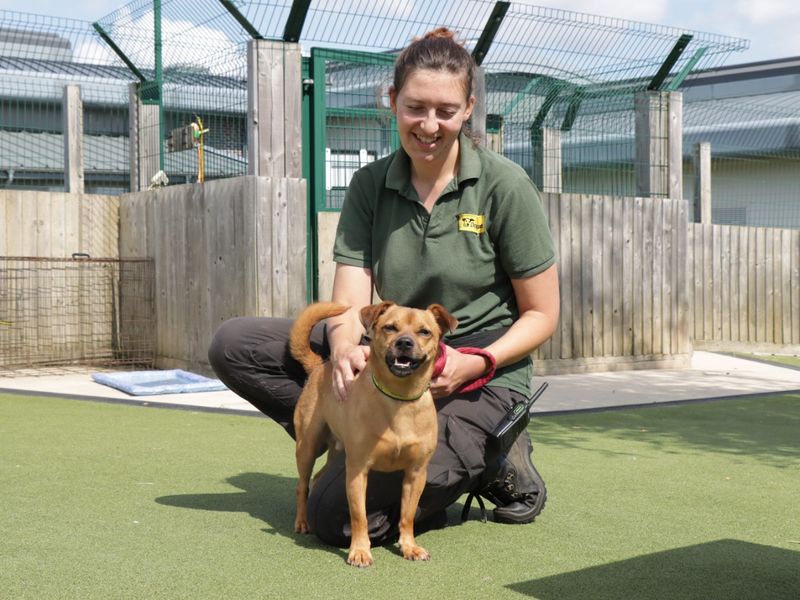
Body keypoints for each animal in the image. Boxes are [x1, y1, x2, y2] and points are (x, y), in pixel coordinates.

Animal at [292, 302, 456, 564]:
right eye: (390, 327)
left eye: (424, 332)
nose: (405, 342)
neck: (399, 400)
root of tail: (321, 365)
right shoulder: (357, 471)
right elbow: (359, 516)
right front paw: (359, 550)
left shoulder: (416, 473)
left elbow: (408, 515)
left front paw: (409, 546)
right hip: (308, 446)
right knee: (302, 485)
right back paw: (302, 521)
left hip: (335, 450)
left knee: (317, 478)